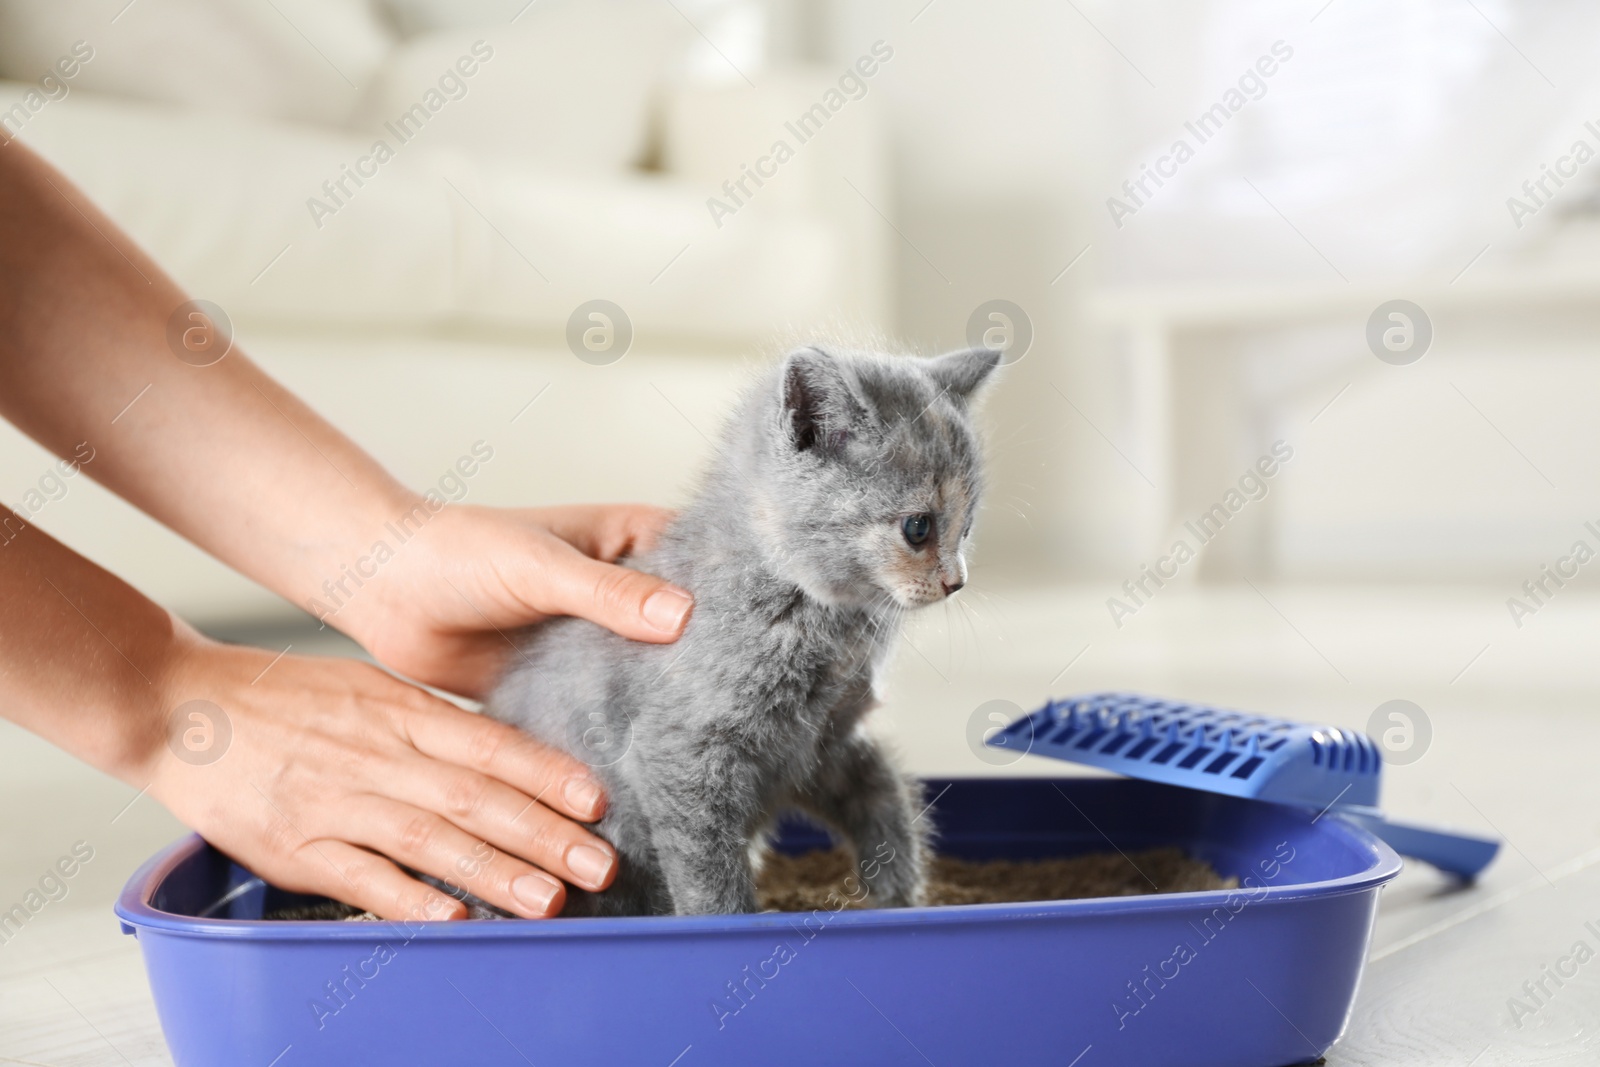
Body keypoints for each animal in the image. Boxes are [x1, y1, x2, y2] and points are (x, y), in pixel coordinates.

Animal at [486, 343, 992, 921]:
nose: (956, 582)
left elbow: (881, 793)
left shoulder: (824, 740)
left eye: (966, 530)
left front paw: (898, 894)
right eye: (918, 528)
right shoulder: (680, 753)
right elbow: (706, 864)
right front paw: (729, 923)